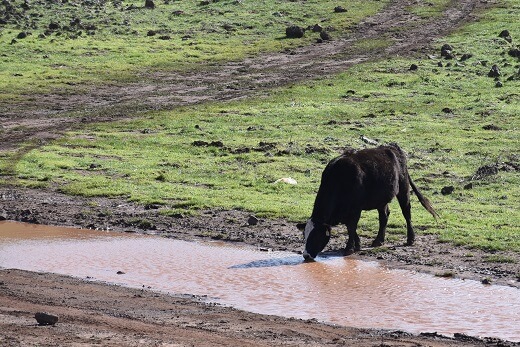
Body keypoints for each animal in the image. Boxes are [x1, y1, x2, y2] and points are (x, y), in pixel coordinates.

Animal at [298, 144, 436, 260]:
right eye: (305, 235)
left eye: (316, 235)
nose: (306, 255)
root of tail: (392, 147)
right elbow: (349, 226)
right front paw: (357, 244)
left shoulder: (355, 208)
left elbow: (351, 226)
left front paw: (349, 248)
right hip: (381, 199)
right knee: (384, 216)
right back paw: (378, 240)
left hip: (403, 187)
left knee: (406, 211)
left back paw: (410, 239)